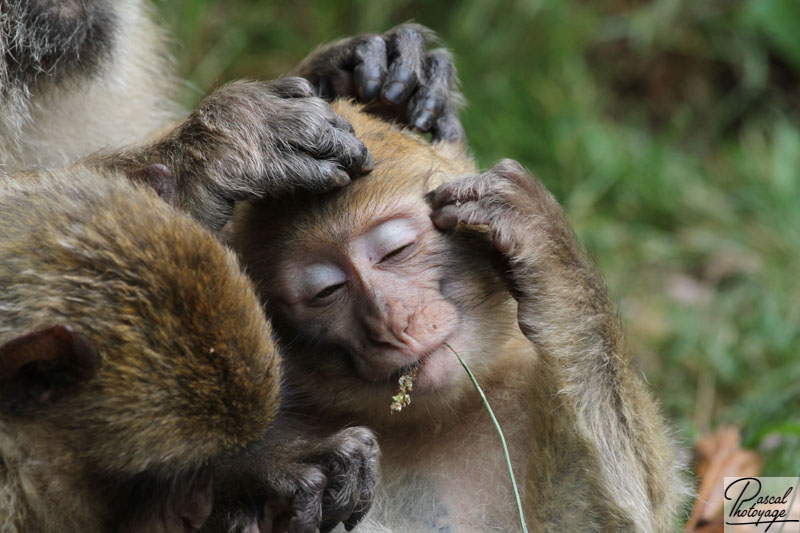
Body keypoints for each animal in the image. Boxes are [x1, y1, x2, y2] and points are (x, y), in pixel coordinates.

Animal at [231, 101, 688, 532]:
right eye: (327, 291)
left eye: (396, 251)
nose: (393, 325)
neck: (432, 418)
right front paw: (279, 466)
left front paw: (545, 247)